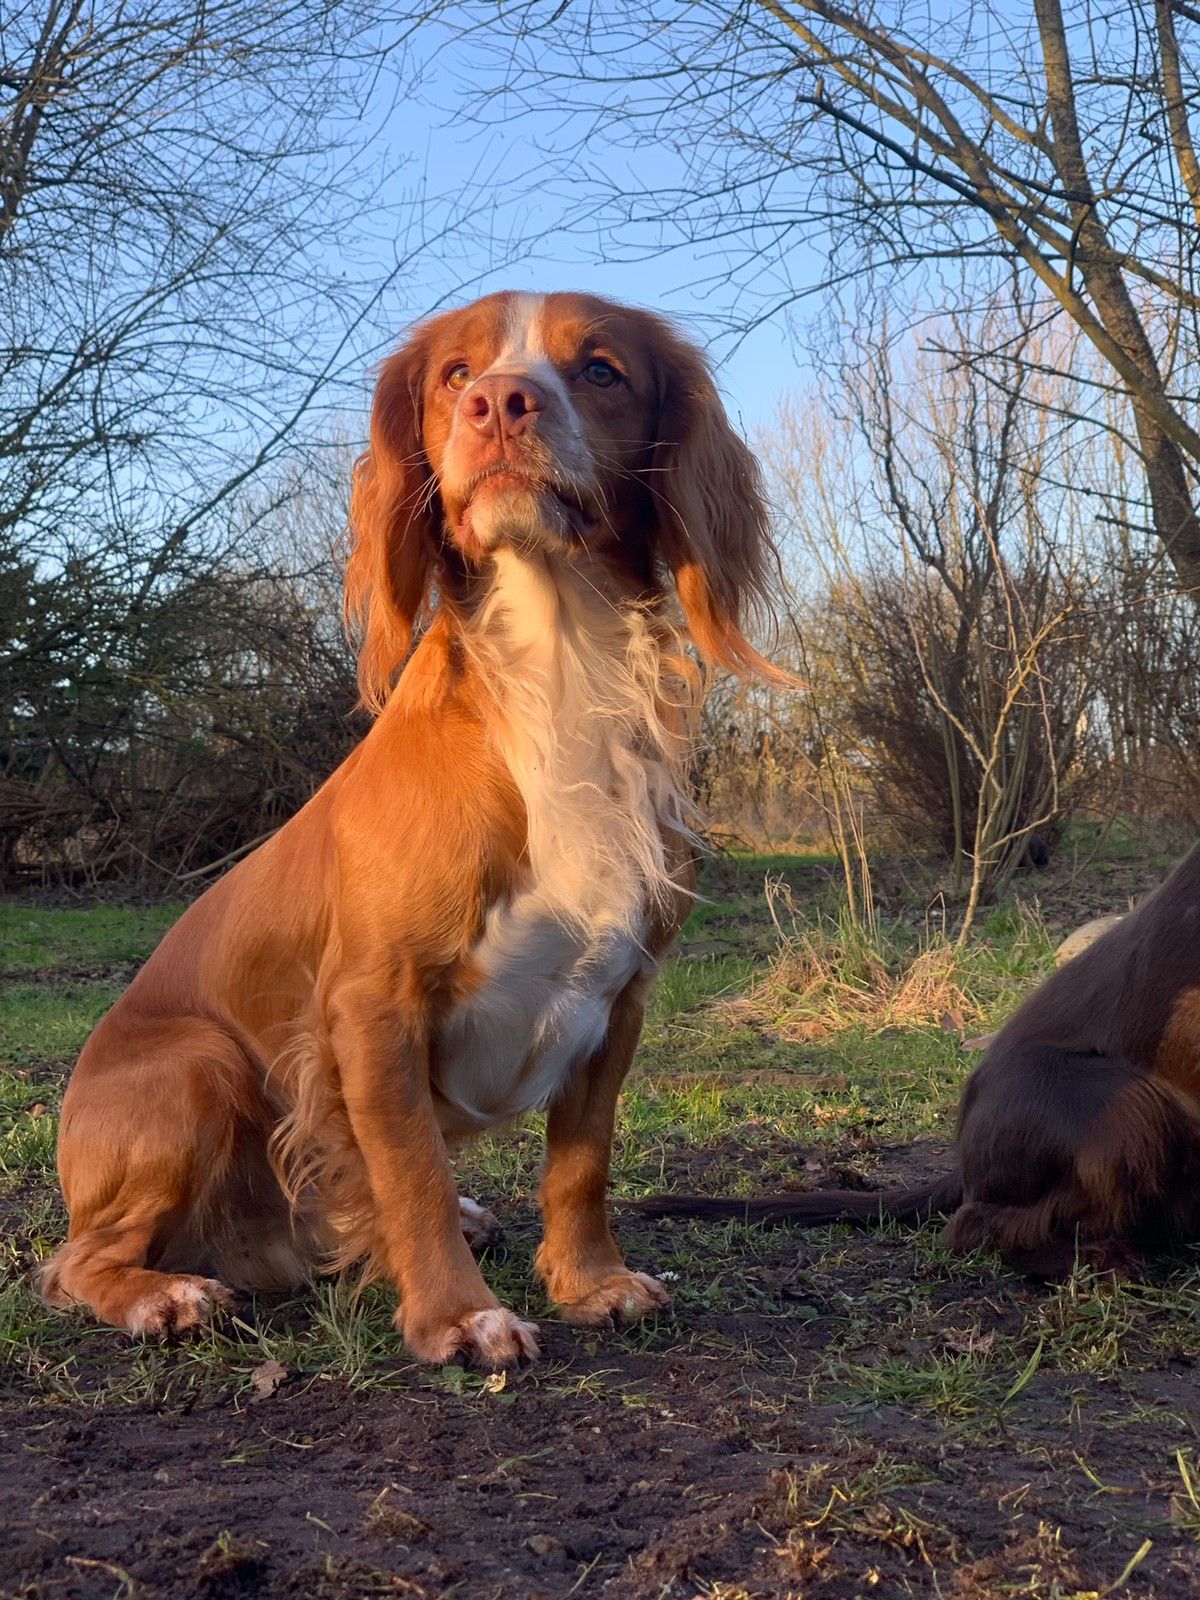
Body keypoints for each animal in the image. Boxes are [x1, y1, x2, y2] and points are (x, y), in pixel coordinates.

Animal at [40, 288, 790, 1363]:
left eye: (601, 369)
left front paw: (590, 1281)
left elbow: (582, 1160)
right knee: (73, 1261)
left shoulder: (621, 997)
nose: (501, 402)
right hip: (200, 1067)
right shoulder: (372, 1007)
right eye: (454, 373)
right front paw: (459, 1315)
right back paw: (162, 1294)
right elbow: (414, 1174)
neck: (559, 669)